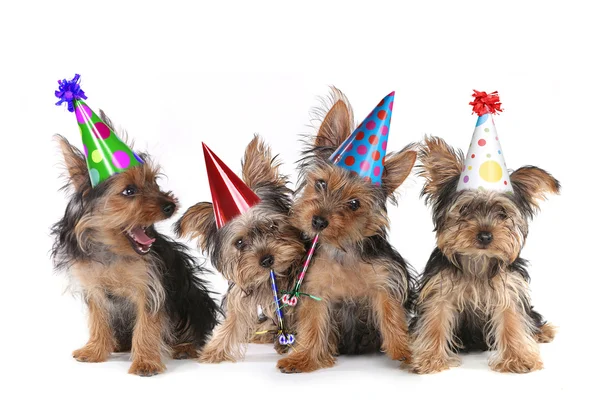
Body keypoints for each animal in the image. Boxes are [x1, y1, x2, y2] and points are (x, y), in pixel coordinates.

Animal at [51, 111, 219, 376]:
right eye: (129, 191)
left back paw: (185, 347)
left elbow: (147, 325)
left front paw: (145, 362)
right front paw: (95, 350)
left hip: (194, 299)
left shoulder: (150, 287)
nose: (170, 205)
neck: (111, 249)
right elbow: (98, 319)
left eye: (154, 182)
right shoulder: (94, 288)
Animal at [173, 135, 304, 362]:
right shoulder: (240, 295)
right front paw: (212, 352)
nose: (266, 260)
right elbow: (233, 322)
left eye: (272, 226)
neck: (271, 278)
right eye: (240, 243)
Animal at [276, 89, 418, 374]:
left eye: (354, 204)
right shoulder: (316, 290)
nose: (319, 221)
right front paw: (303, 357)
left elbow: (392, 315)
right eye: (321, 184)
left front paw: (405, 351)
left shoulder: (385, 281)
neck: (341, 248)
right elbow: (313, 324)